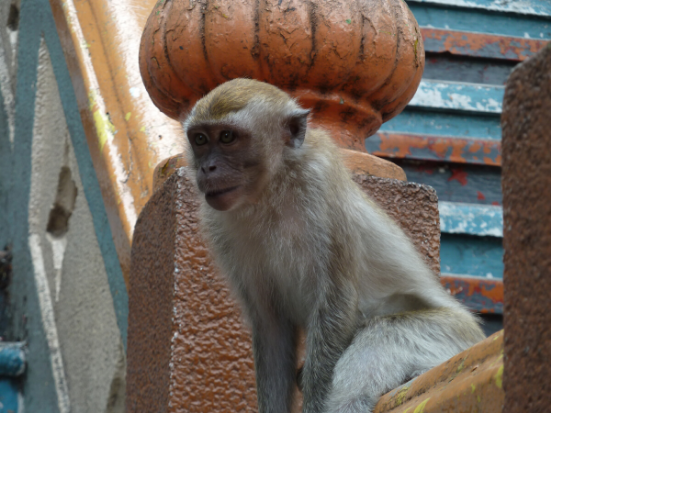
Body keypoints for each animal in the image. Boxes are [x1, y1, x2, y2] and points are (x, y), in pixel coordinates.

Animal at [182, 79, 485, 413]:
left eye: (227, 137)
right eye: (200, 139)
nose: (207, 168)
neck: (270, 189)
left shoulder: (320, 186)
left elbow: (335, 301)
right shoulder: (219, 223)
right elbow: (271, 324)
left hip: (452, 335)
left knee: (383, 334)